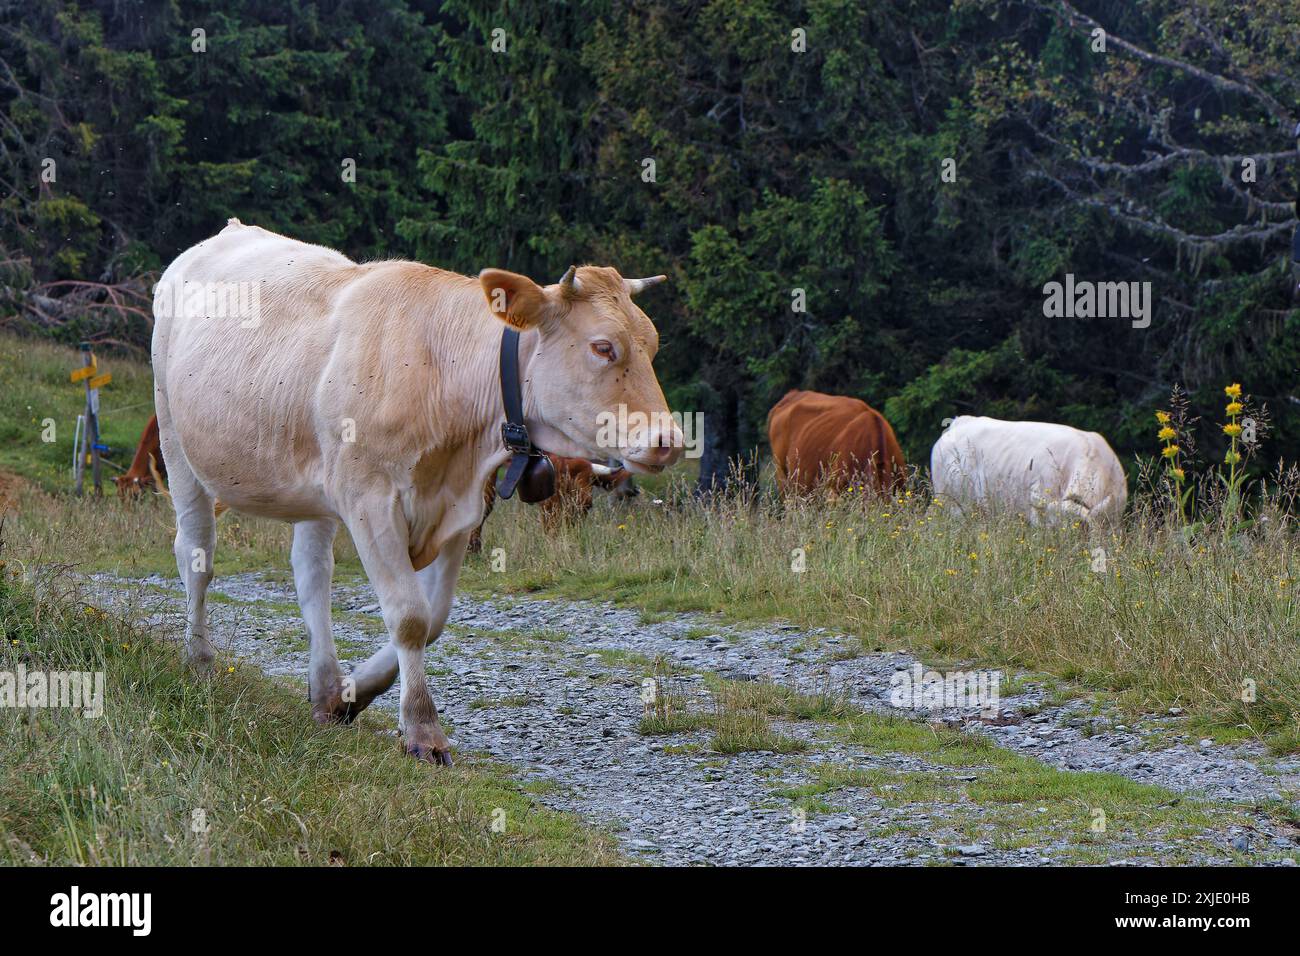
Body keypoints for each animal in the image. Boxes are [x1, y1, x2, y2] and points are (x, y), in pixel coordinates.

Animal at [150, 218, 681, 764]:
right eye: (603, 347)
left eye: (653, 345)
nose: (669, 441)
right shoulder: (370, 500)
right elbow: (408, 616)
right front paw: (423, 730)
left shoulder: (458, 508)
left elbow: (436, 617)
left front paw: (352, 695)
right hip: (175, 441)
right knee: (196, 554)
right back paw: (201, 661)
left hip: (316, 483)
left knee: (312, 573)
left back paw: (325, 687)